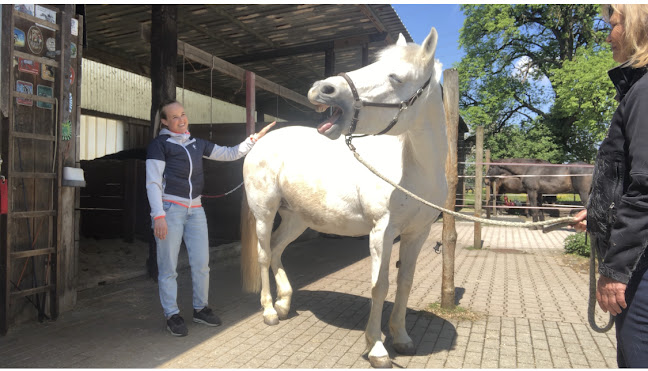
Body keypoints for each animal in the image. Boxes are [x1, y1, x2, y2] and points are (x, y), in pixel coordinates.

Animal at [240, 27, 448, 368]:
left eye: (395, 77)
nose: (322, 89)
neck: (413, 168)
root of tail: (260, 141)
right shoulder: (382, 233)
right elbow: (380, 285)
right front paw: (377, 347)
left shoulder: (417, 234)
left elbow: (404, 282)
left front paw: (401, 337)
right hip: (264, 213)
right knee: (263, 254)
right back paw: (270, 310)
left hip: (296, 219)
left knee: (277, 249)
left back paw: (284, 303)